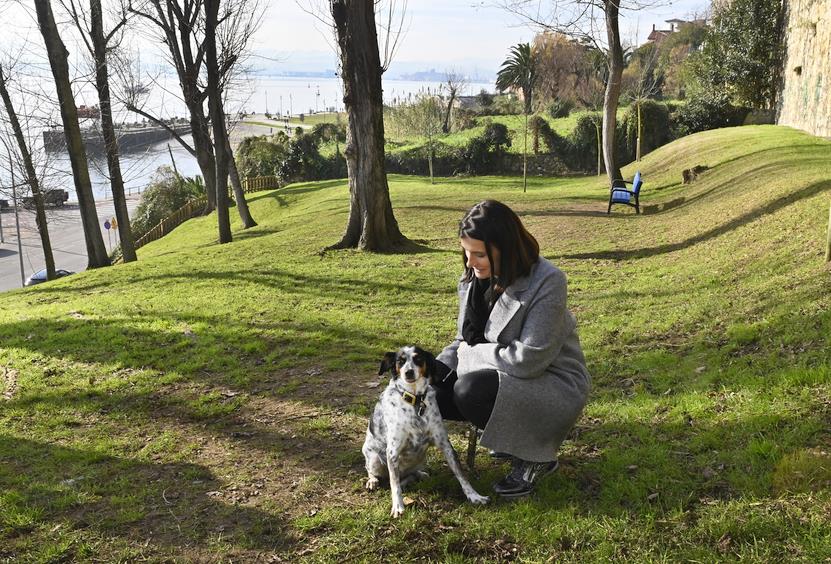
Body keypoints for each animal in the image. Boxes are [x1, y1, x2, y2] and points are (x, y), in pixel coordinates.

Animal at [362, 344, 488, 516]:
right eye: (400, 361)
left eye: (418, 359)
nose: (408, 372)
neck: (415, 400)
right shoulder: (392, 451)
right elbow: (394, 484)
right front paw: (398, 506)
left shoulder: (445, 444)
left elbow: (461, 474)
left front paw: (474, 496)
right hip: (374, 458)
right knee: (372, 470)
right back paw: (373, 481)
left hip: (421, 459)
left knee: (409, 475)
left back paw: (419, 475)